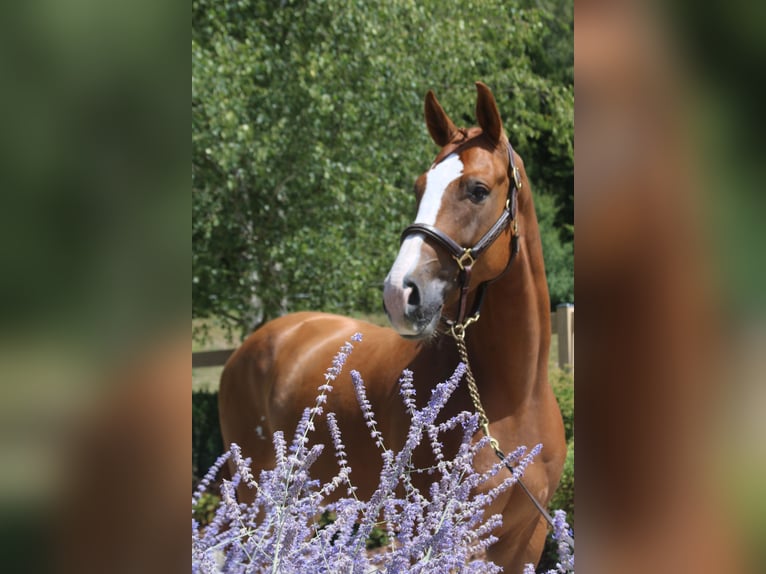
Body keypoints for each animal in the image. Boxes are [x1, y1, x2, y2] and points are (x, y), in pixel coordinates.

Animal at [218, 82, 566, 571]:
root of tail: (249, 348)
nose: (400, 293)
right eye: (419, 187)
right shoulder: (452, 537)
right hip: (257, 497)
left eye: (478, 190)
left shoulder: (526, 537)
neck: (517, 398)